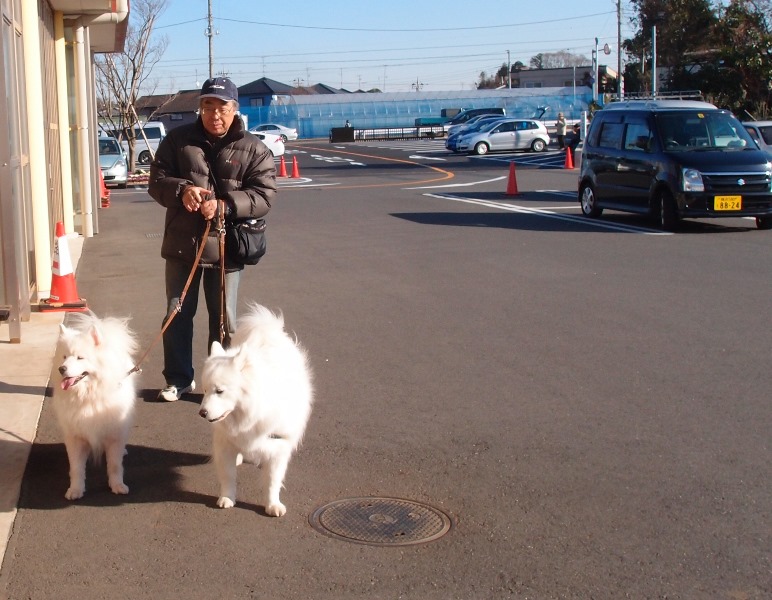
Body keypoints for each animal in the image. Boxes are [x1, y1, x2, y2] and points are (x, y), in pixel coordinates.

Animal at [52, 312, 139, 500]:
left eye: (80, 357)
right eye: (64, 357)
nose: (62, 369)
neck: (88, 396)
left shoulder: (114, 435)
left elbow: (114, 465)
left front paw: (117, 486)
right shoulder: (75, 437)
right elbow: (76, 468)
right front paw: (75, 490)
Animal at [199, 304, 314, 516]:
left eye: (219, 391)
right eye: (204, 391)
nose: (202, 413)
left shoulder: (278, 447)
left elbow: (272, 481)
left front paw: (272, 505)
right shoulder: (225, 444)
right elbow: (228, 475)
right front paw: (227, 498)